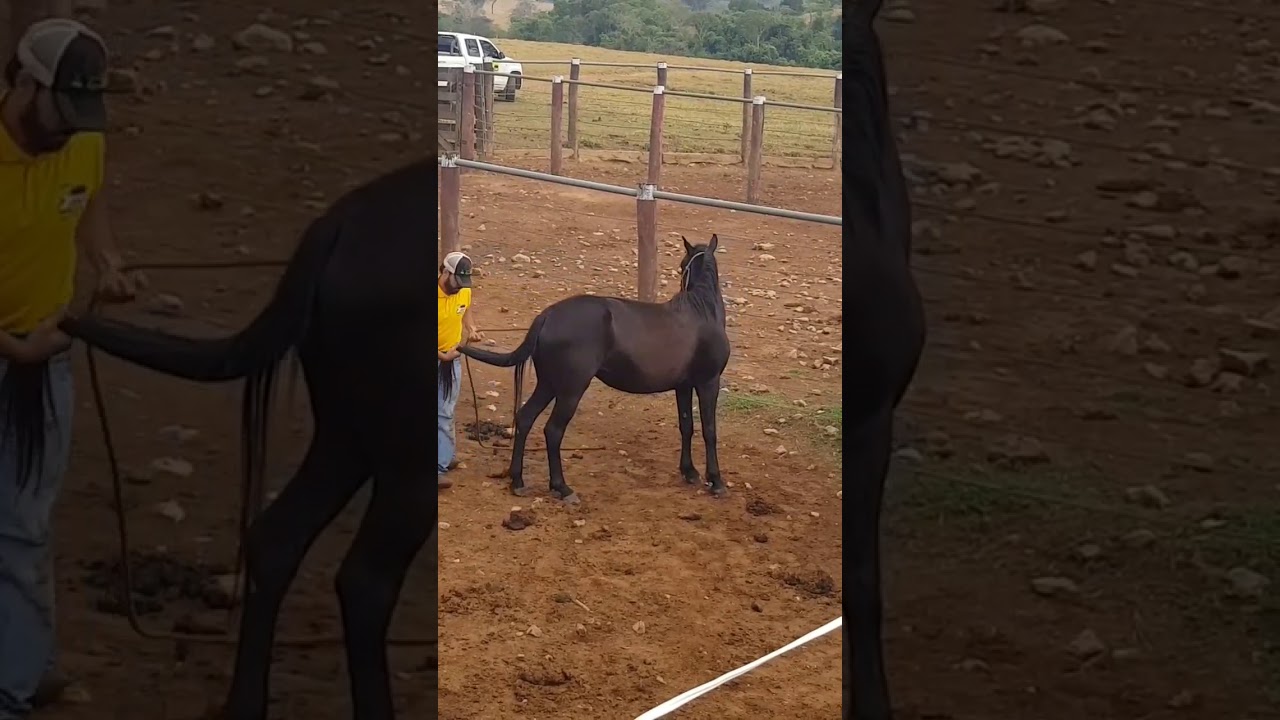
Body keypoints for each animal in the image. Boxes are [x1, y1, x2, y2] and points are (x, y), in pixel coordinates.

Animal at [58, 158, 433, 720]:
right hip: (406, 452)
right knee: (365, 581)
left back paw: (245, 702)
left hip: (349, 435)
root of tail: (340, 223)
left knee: (277, 539)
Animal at [460, 234, 731, 503]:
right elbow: (710, 431)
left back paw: (517, 481)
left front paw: (689, 472)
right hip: (571, 389)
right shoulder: (708, 382)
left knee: (525, 418)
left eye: (682, 265)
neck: (701, 312)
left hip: (548, 384)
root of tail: (548, 316)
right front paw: (716, 481)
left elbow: (687, 427)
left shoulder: (683, 386)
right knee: (553, 430)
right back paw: (562, 487)